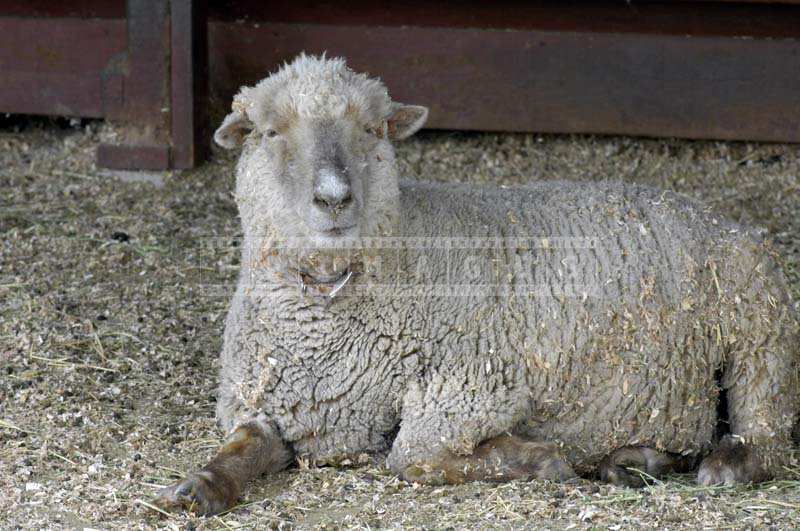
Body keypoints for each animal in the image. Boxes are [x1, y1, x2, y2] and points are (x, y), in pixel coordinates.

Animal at [153, 54, 796, 516]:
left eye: (372, 129)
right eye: (268, 132)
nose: (334, 198)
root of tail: (720, 218)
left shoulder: (473, 386)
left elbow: (412, 456)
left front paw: (540, 459)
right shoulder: (269, 404)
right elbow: (239, 449)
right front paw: (197, 488)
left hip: (759, 328)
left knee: (767, 427)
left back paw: (724, 465)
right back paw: (636, 459)